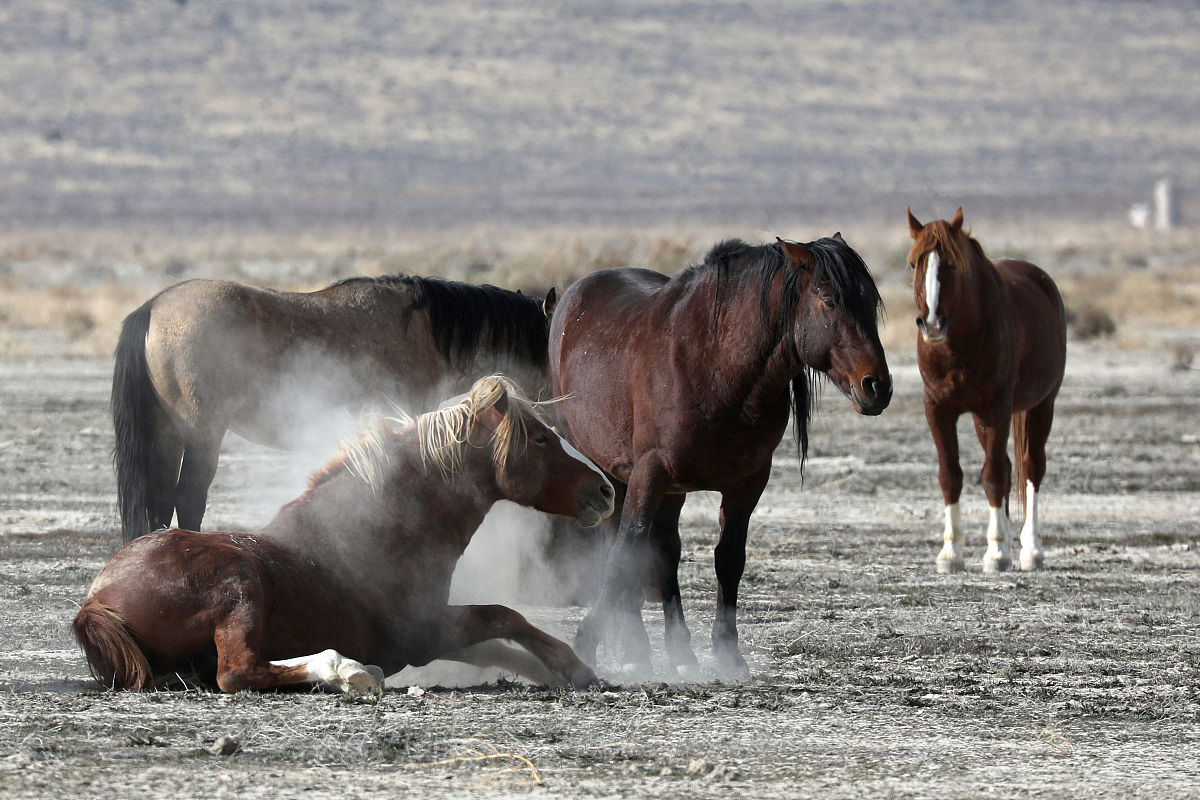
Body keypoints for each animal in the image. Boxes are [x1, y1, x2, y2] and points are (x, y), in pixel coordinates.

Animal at [74, 376, 615, 693]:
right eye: (541, 438)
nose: (606, 490)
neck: (380, 526)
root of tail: (94, 602)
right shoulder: (425, 629)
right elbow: (507, 616)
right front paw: (572, 665)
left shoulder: (431, 634)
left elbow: (497, 643)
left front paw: (567, 672)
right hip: (240, 584)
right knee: (239, 670)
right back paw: (348, 671)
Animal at [112, 273, 556, 542]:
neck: (421, 331)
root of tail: (153, 307)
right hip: (202, 434)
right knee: (188, 500)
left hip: (167, 434)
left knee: (160, 501)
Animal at [549, 235, 892, 676]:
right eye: (830, 300)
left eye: (870, 301)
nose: (877, 386)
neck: (717, 366)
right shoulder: (649, 472)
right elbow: (626, 553)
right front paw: (588, 643)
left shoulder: (748, 482)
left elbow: (728, 559)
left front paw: (729, 654)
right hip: (613, 472)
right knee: (621, 545)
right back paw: (632, 648)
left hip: (673, 490)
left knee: (666, 552)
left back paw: (679, 651)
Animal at [906, 207, 1067, 573]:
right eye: (914, 264)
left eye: (952, 264)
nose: (932, 323)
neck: (959, 347)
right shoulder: (937, 408)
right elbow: (951, 475)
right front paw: (951, 553)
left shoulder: (997, 407)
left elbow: (993, 475)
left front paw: (996, 554)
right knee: (1008, 467)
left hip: (1042, 405)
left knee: (1031, 467)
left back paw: (1030, 550)